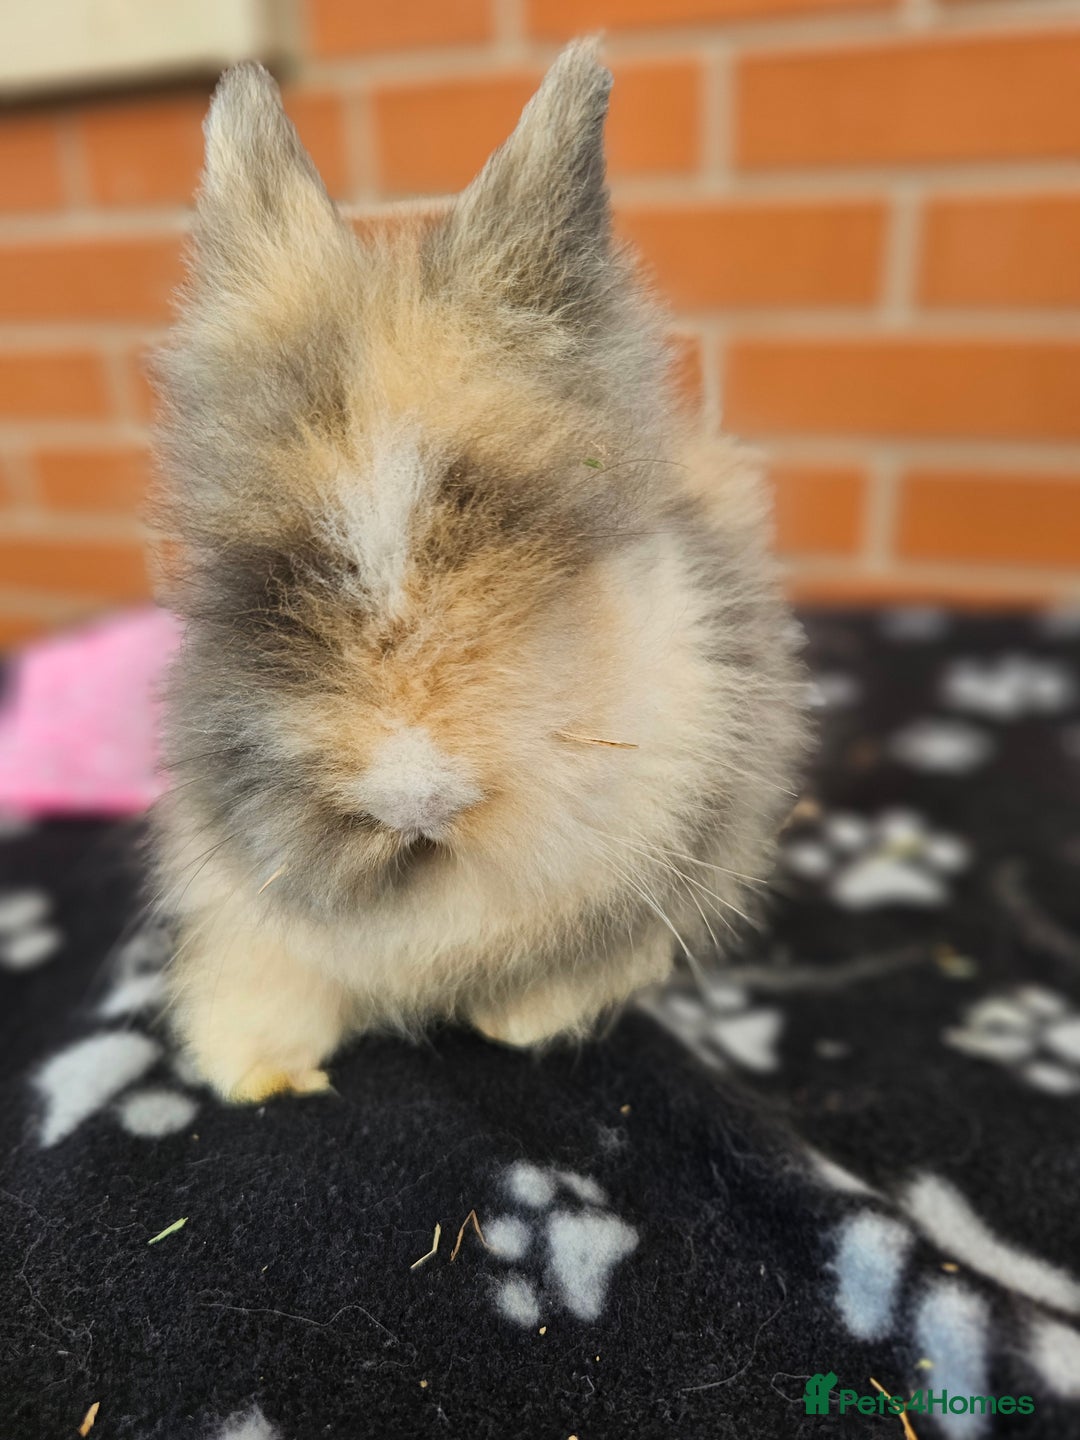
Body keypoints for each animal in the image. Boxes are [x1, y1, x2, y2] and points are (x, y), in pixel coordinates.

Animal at [149, 40, 807, 1102]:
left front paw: (524, 1025)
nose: (413, 799)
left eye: (544, 539)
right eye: (258, 583)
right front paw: (263, 1077)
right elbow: (267, 980)